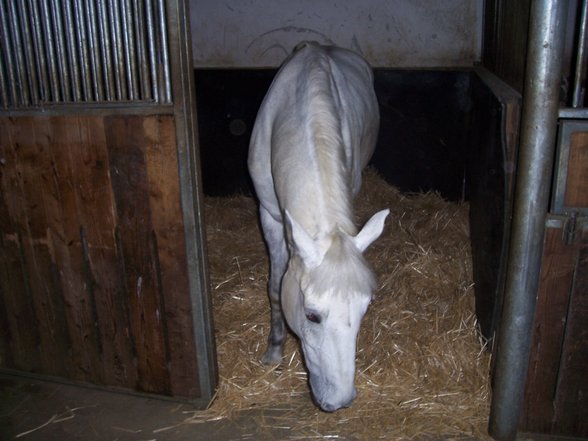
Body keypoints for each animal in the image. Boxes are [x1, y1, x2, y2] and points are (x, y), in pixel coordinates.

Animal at [247, 41, 388, 410]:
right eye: (312, 316)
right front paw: (274, 351)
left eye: (365, 309)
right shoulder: (269, 215)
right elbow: (274, 287)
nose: (340, 402)